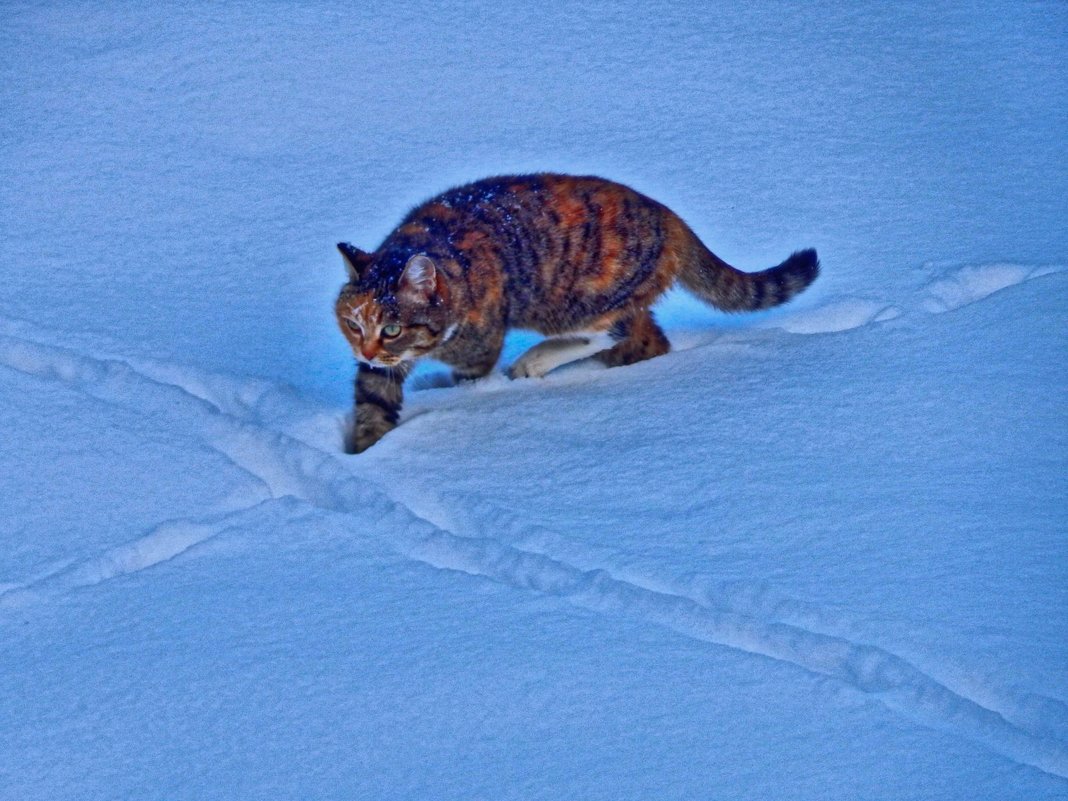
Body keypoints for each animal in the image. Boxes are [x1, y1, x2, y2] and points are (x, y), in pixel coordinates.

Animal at [333, 173, 815, 454]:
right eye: (353, 323)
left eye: (391, 328)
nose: (366, 351)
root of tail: (669, 216)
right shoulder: (379, 368)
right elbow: (373, 401)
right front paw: (365, 452)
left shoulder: (476, 349)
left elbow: (468, 381)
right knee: (648, 341)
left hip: (583, 298)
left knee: (615, 332)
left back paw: (536, 361)